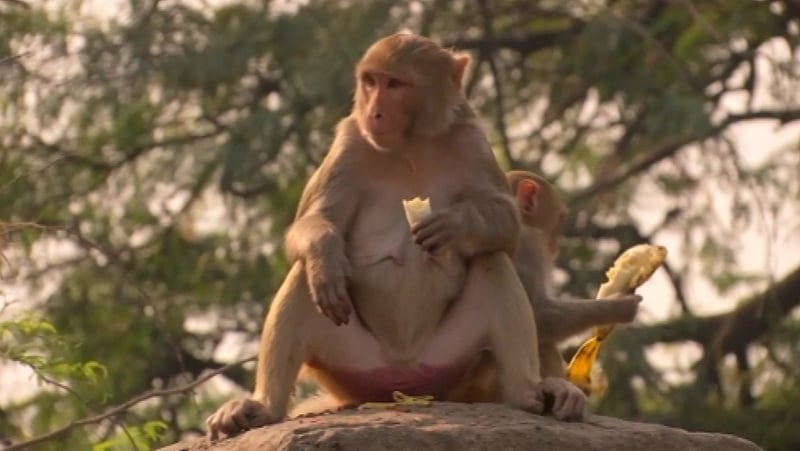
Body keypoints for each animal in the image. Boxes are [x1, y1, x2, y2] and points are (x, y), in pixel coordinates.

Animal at [204, 33, 584, 440]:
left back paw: (528, 392)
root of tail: (402, 378)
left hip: (449, 363)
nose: (375, 112)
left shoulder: (471, 136)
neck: (410, 142)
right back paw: (264, 405)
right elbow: (315, 220)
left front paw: (453, 226)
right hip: (353, 364)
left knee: (491, 259)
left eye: (395, 85)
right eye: (371, 81)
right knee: (306, 276)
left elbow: (506, 224)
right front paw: (326, 253)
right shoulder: (349, 142)